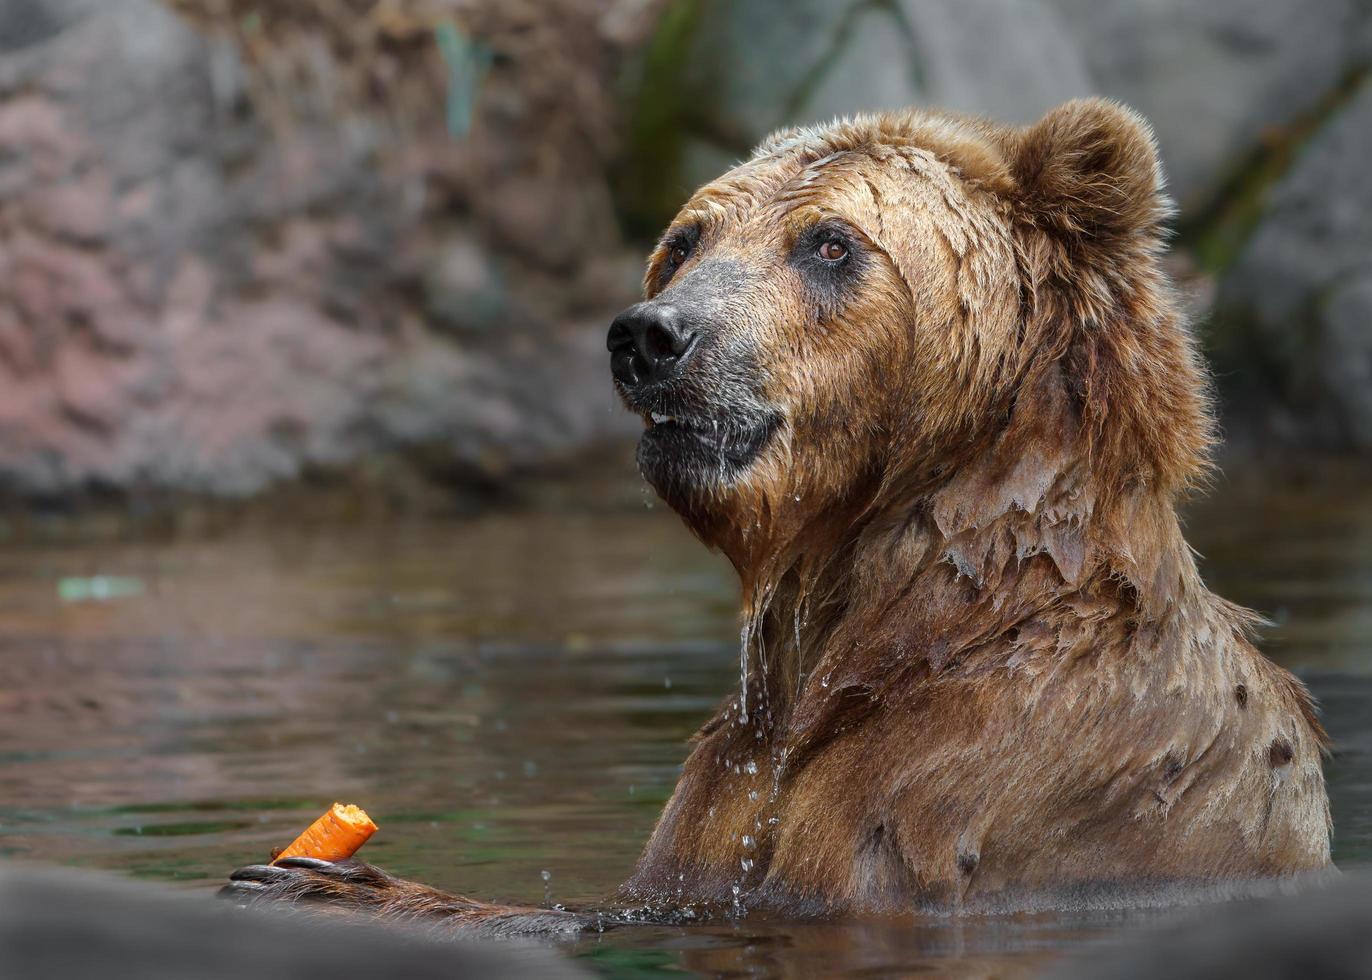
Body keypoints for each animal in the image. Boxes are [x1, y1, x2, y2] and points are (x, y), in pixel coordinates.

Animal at [222, 97, 1328, 922]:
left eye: (831, 243)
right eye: (686, 239)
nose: (650, 334)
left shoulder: (985, 780)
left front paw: (327, 882)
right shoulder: (737, 781)